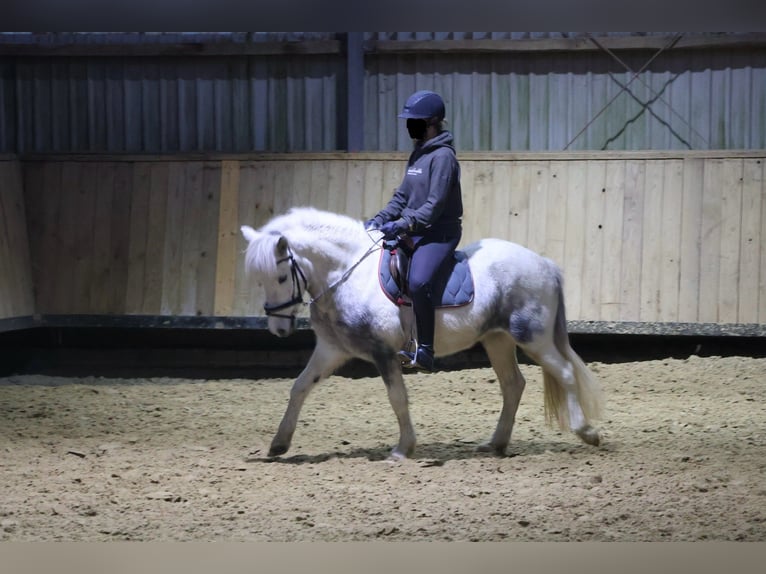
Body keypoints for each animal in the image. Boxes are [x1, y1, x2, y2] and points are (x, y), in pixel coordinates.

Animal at [241, 207, 604, 461]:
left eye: (281, 277)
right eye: (259, 279)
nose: (279, 329)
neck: (347, 274)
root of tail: (544, 264)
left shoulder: (383, 352)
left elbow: (397, 398)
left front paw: (403, 449)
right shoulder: (332, 349)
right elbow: (300, 387)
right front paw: (279, 444)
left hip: (532, 337)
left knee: (565, 372)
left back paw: (586, 432)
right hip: (496, 339)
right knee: (513, 385)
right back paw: (495, 444)